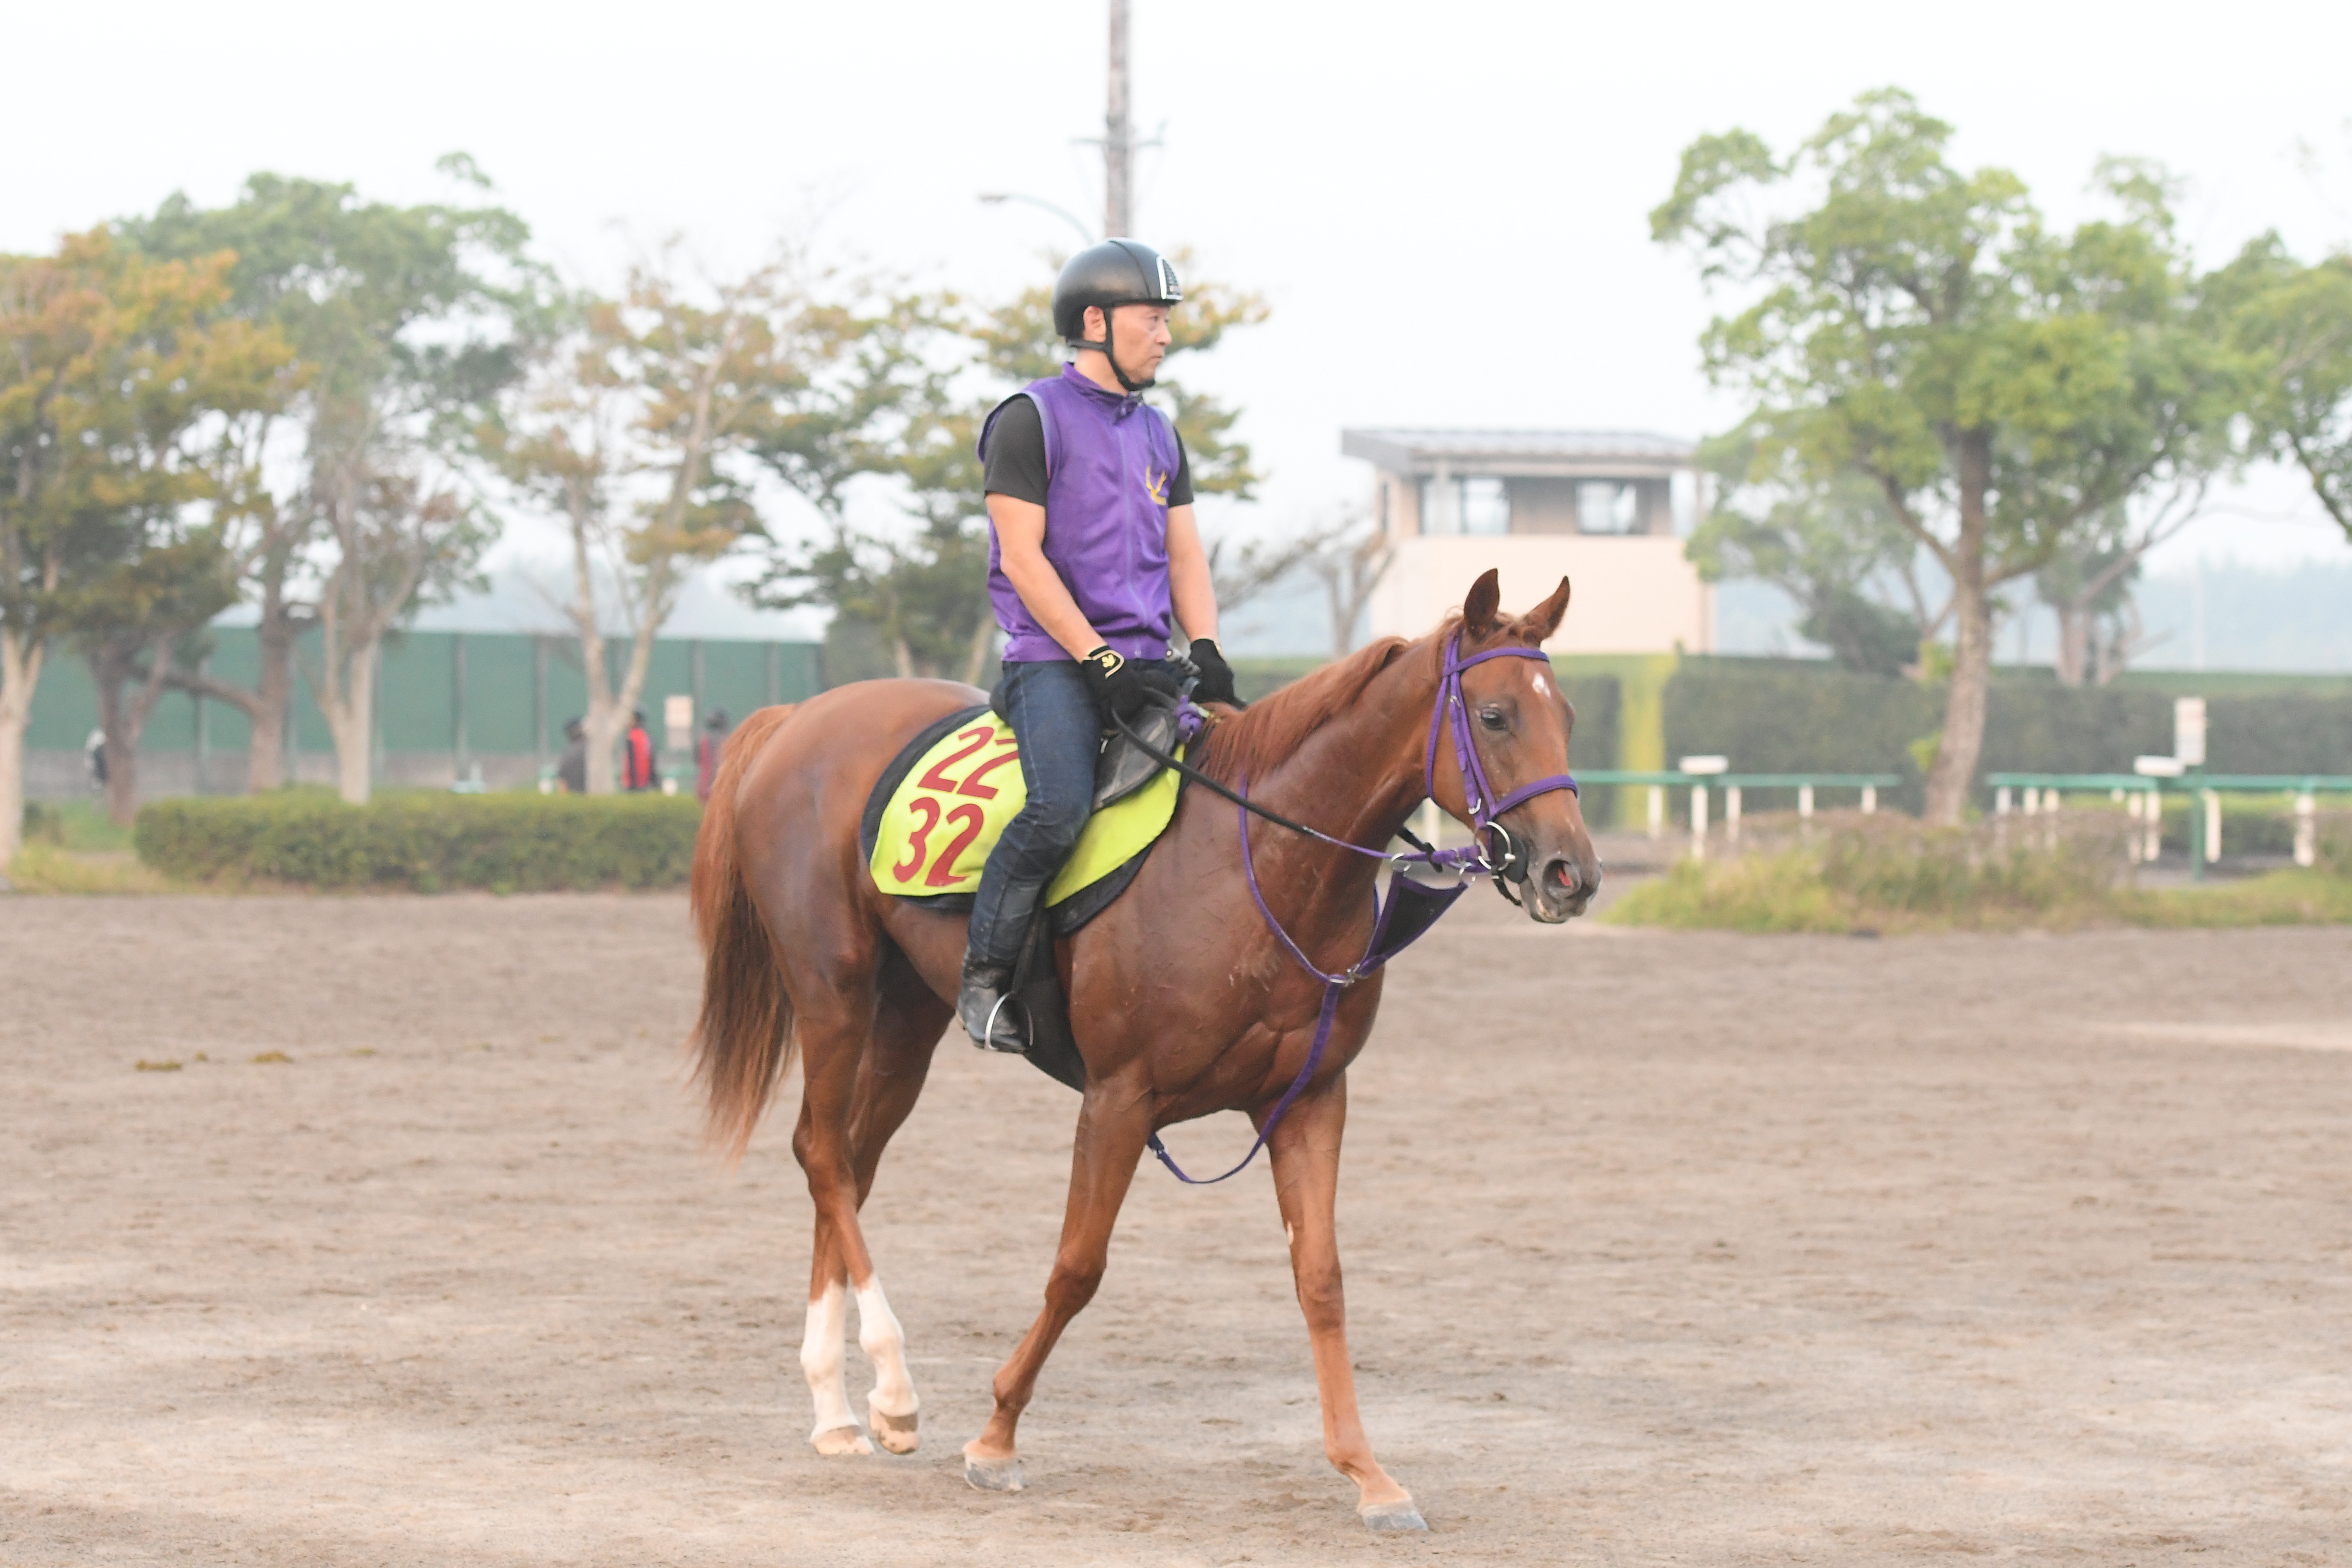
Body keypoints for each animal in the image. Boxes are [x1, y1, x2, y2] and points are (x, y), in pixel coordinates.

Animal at [687, 568, 1602, 1531]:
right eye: (1495, 715)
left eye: (1567, 714)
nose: (1571, 874)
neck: (1254, 862)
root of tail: (796, 717)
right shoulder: (1118, 1098)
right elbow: (1076, 1268)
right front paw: (996, 1438)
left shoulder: (1311, 1097)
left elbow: (1321, 1278)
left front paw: (1369, 1474)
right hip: (831, 988)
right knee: (822, 1153)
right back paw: (890, 1389)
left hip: (907, 1015)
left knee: (852, 1166)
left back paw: (836, 1406)